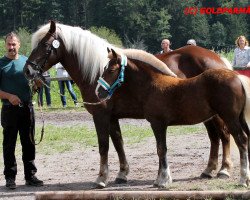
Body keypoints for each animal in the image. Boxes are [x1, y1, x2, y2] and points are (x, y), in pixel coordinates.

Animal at [24, 20, 231, 188]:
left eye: (45, 45)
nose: (28, 70)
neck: (97, 71)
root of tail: (219, 59)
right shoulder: (112, 117)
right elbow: (118, 143)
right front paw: (122, 174)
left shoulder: (101, 116)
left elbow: (104, 146)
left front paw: (101, 178)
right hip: (207, 115)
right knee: (214, 137)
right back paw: (209, 170)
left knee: (224, 135)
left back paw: (224, 169)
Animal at [95, 48, 250, 188]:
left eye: (111, 70)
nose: (99, 92)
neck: (152, 85)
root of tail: (238, 77)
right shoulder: (159, 125)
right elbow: (160, 149)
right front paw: (160, 179)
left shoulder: (158, 124)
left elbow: (161, 149)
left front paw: (163, 181)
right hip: (237, 118)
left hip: (230, 118)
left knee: (241, 140)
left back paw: (242, 179)